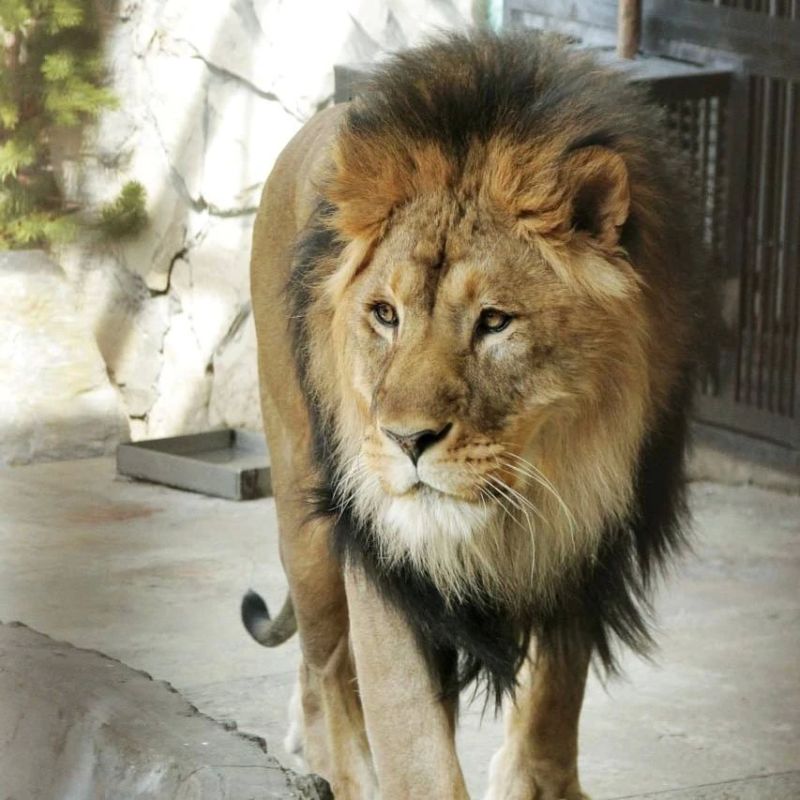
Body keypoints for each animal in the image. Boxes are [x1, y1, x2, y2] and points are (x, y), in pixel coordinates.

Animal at [242, 31, 712, 800]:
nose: (406, 439)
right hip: (304, 522)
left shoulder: (585, 541)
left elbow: (554, 695)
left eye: (494, 321)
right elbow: (412, 742)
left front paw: (539, 782)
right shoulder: (380, 555)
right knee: (326, 664)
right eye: (384, 315)